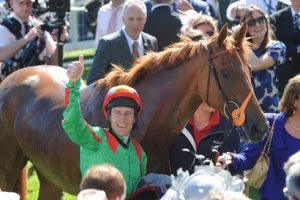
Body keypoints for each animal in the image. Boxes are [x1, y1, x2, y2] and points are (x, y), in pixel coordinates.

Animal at [0, 23, 268, 198]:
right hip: (8, 172)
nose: (259, 127)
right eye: (226, 73)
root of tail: (11, 79)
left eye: (249, 71)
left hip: (49, 177)